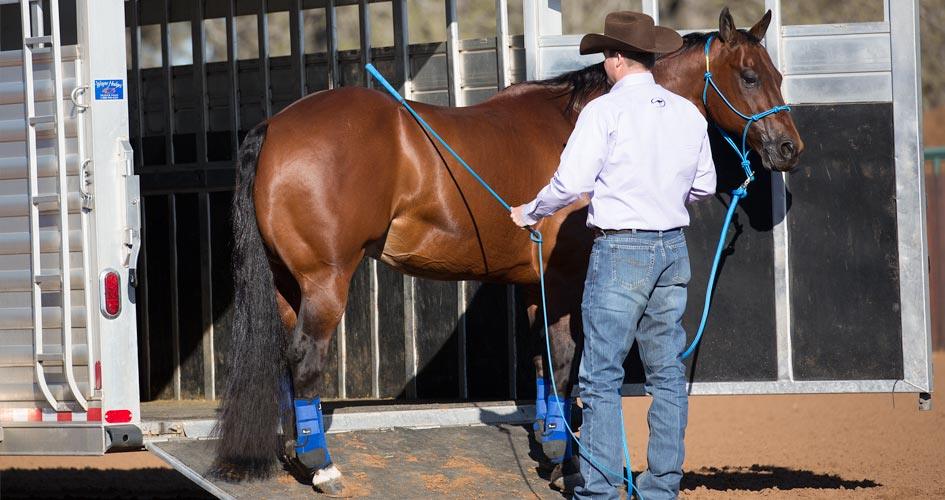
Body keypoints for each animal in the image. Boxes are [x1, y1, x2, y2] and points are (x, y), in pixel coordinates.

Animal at [213, 7, 803, 495]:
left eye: (777, 75)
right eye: (749, 76)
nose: (789, 148)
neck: (575, 123)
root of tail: (274, 127)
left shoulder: (533, 282)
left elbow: (541, 362)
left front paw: (551, 443)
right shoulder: (565, 282)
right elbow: (565, 363)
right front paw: (569, 464)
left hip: (287, 284)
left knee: (286, 362)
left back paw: (296, 454)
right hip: (326, 279)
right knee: (305, 359)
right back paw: (322, 466)